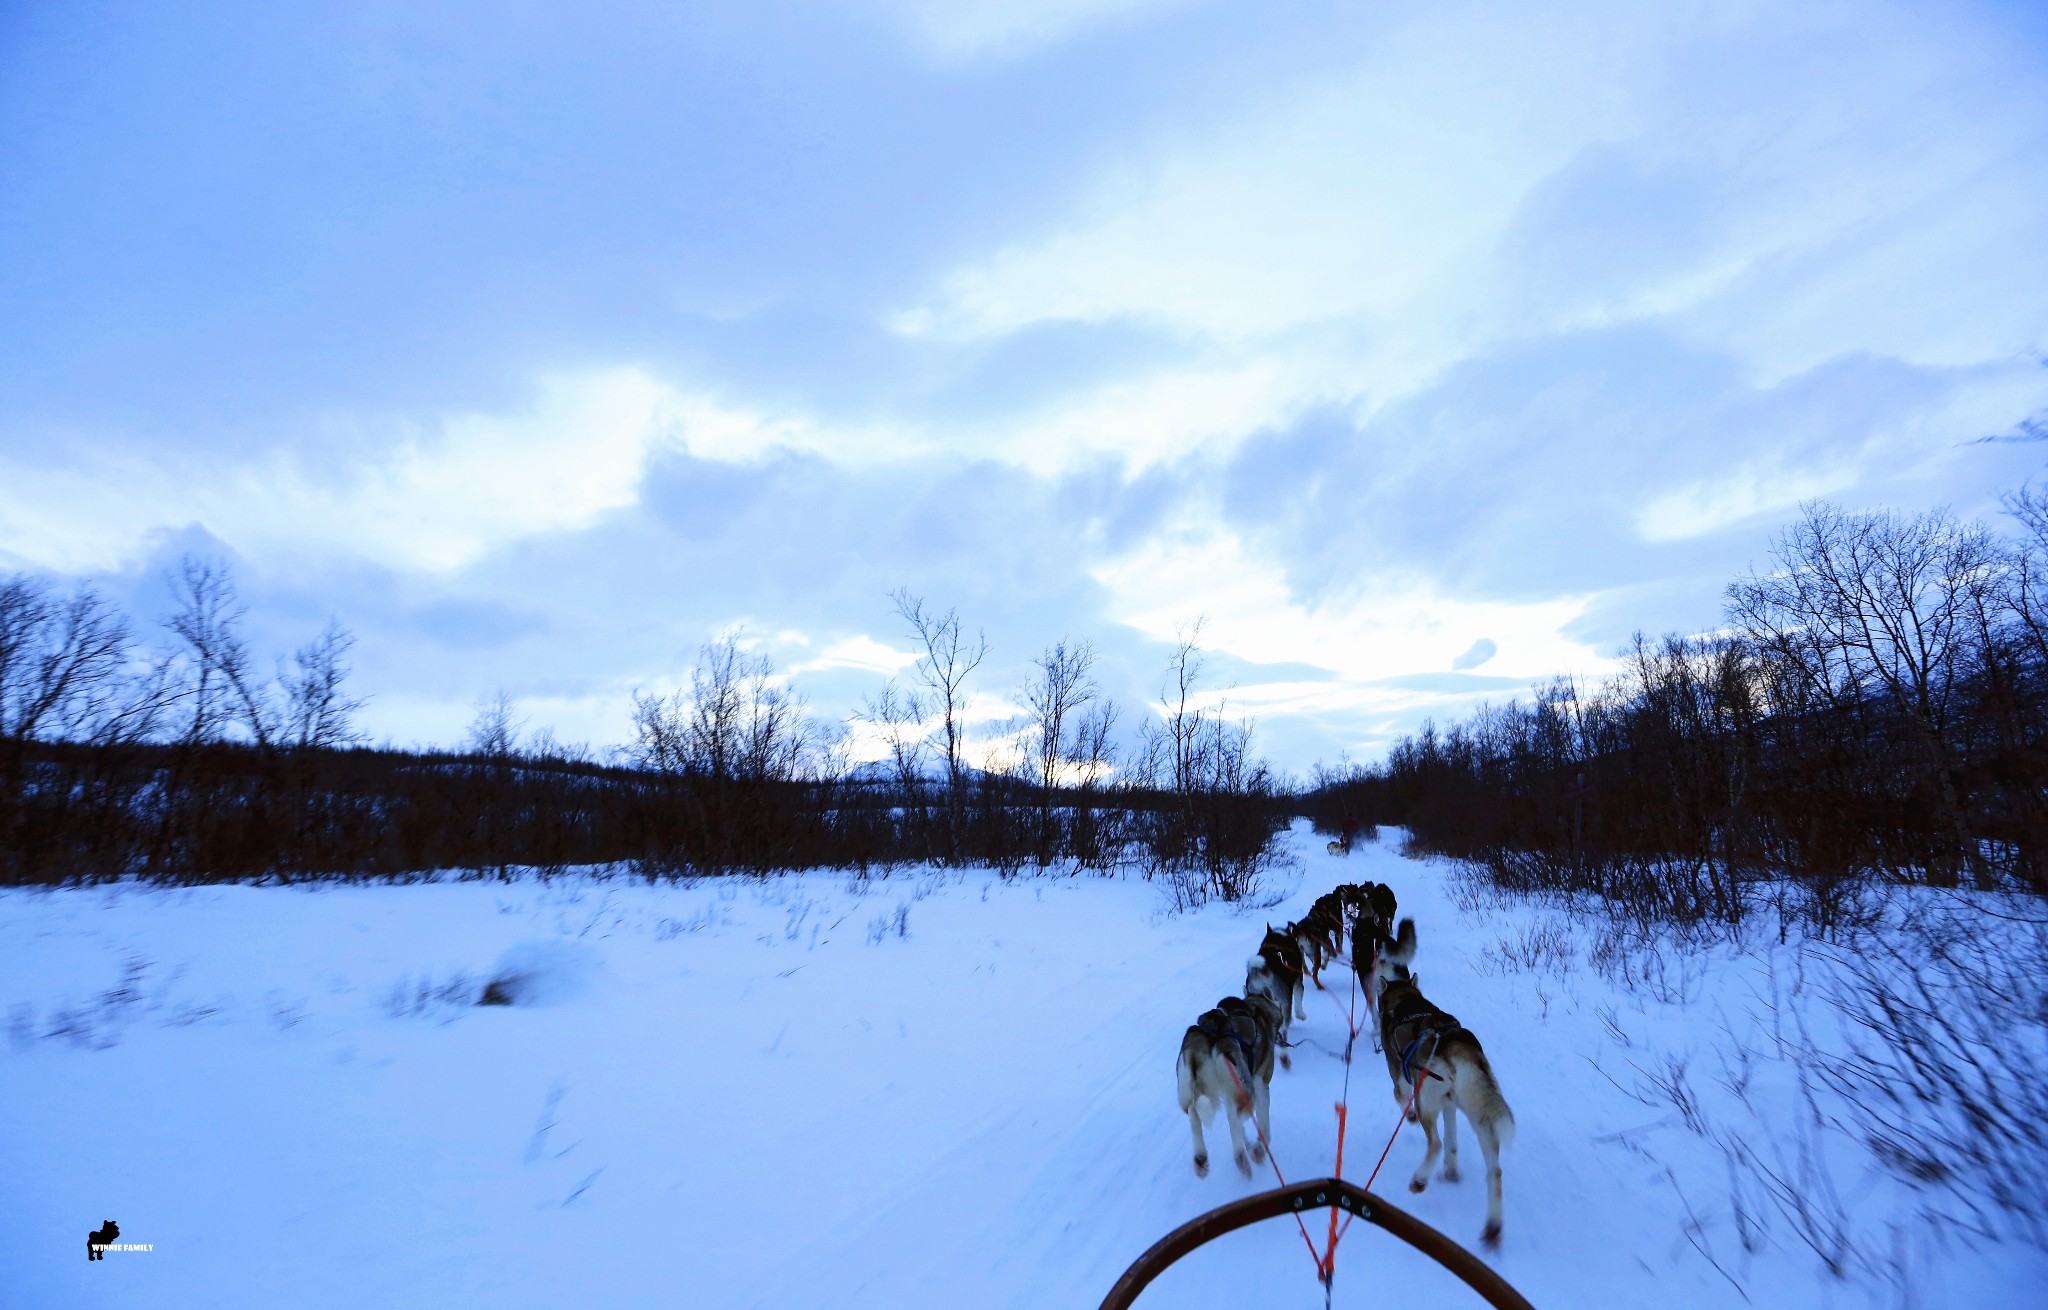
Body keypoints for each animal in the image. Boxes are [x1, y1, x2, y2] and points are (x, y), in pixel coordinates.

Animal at [1179, 998, 1269, 1179]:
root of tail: (1210, 1037)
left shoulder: (1228, 1095)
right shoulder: (1261, 1084)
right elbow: (1263, 1125)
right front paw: (1259, 1146)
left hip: (1190, 1092)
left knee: (1193, 1112)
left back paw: (1201, 1158)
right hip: (1247, 1094)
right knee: (1234, 1121)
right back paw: (1244, 1155)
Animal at [1384, 962, 1515, 1244]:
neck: (1408, 1002)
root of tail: (1455, 1044)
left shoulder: (1402, 1082)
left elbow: (1399, 1098)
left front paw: (1408, 1118)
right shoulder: (1449, 1104)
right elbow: (1453, 1142)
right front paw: (1451, 1172)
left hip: (1425, 1101)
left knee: (1435, 1143)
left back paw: (1419, 1180)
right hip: (1481, 1117)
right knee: (1495, 1172)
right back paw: (1493, 1226)